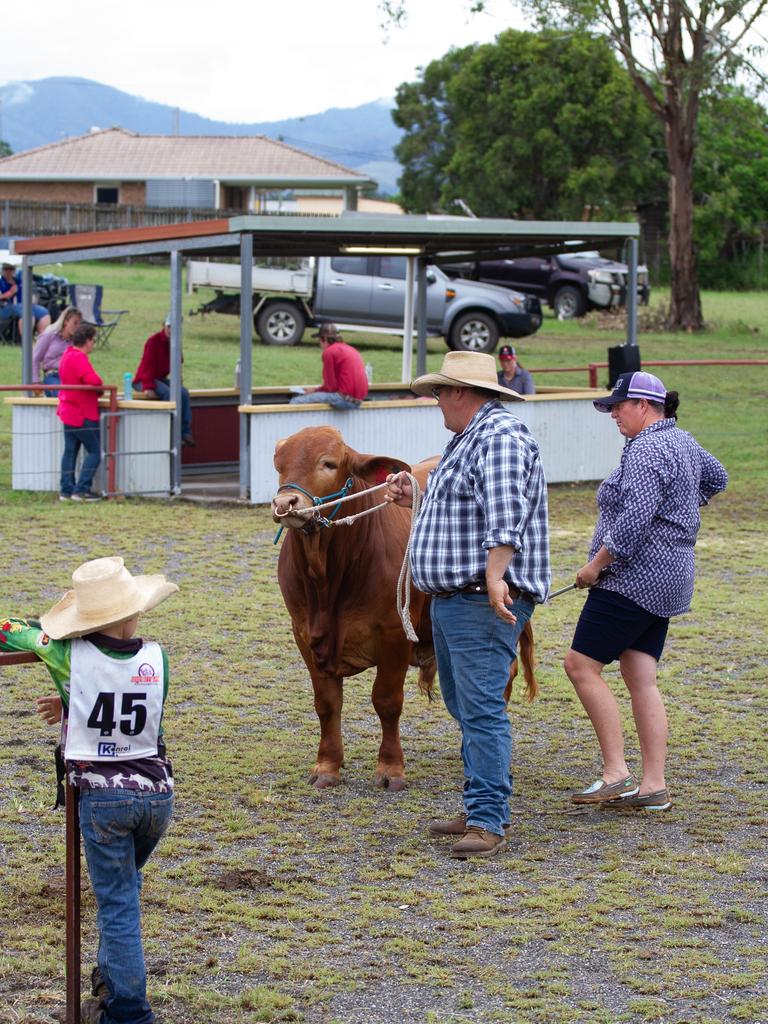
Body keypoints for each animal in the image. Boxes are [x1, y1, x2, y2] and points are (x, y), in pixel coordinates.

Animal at [274, 423, 536, 790]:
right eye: (279, 464)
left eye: (328, 463)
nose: (285, 502)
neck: (326, 580)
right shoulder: (303, 633)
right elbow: (327, 703)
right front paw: (327, 765)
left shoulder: (394, 633)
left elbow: (386, 701)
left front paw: (390, 769)